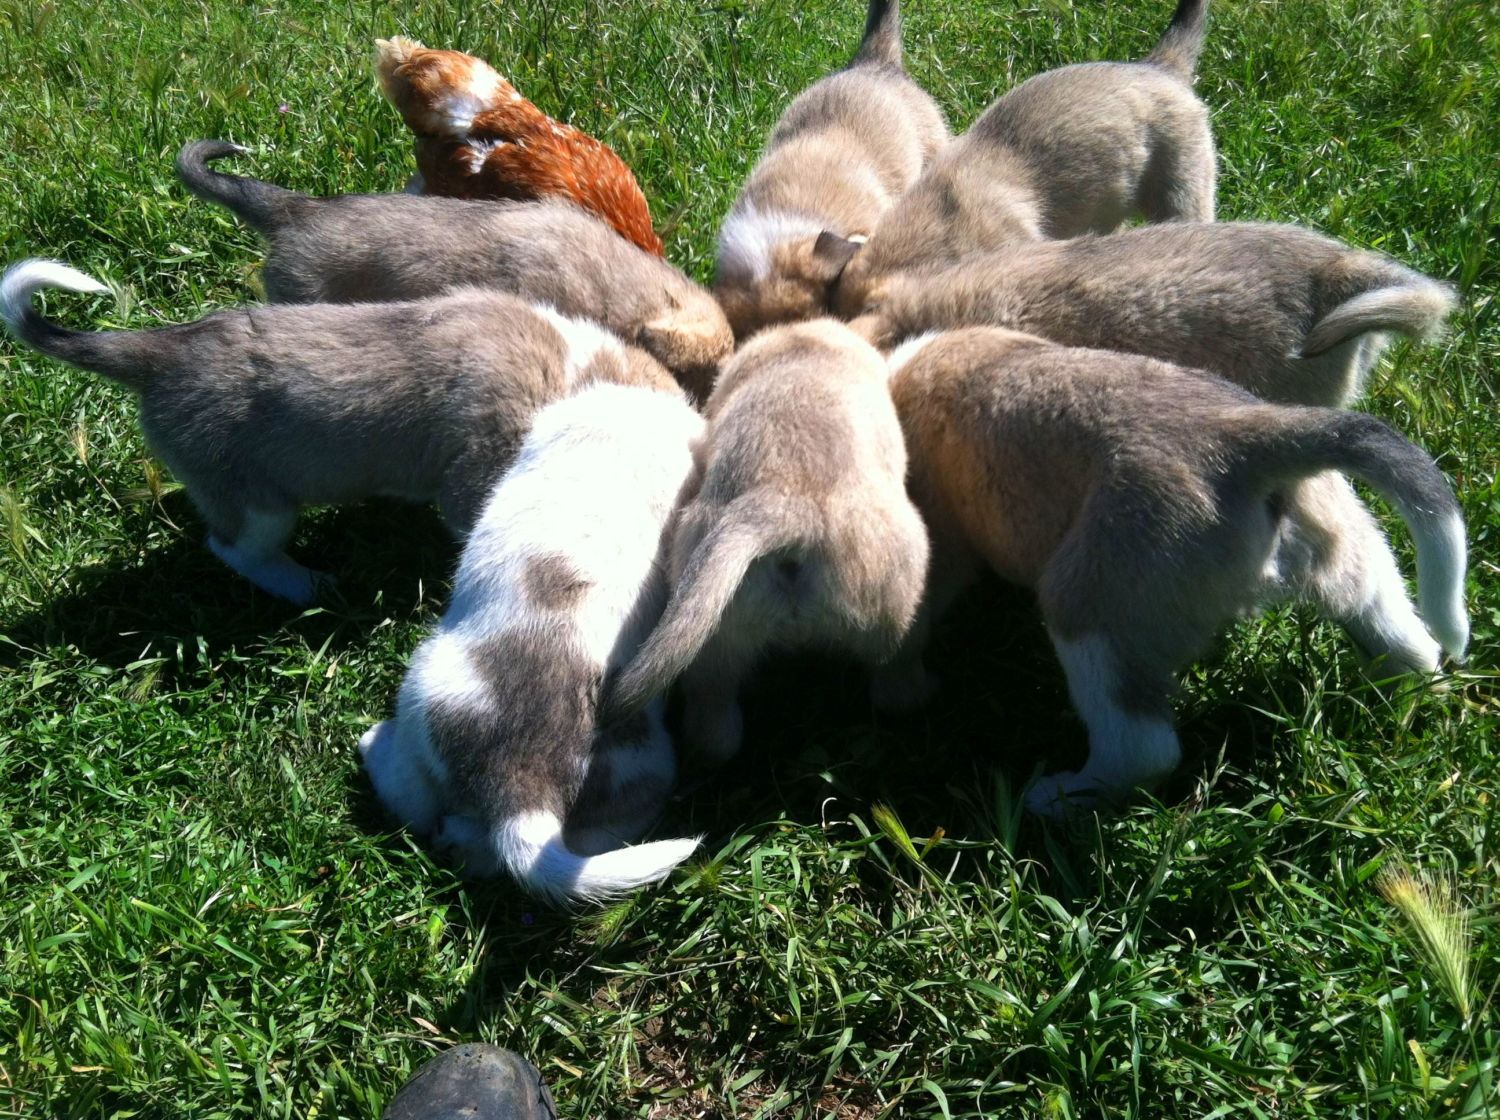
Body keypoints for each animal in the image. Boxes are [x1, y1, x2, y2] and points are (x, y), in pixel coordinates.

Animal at [0, 258, 679, 602]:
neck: (571, 368)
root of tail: (162, 352)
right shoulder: (475, 476)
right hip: (258, 503)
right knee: (236, 549)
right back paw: (307, 586)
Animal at [604, 319, 930, 765]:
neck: (803, 343)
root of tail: (781, 509)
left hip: (713, 636)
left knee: (715, 722)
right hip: (900, 605)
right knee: (894, 684)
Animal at [883, 328, 1467, 817]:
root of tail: (1245, 441)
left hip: (1093, 610)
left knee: (1142, 749)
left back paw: (1061, 798)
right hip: (1359, 563)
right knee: (1412, 647)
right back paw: (1406, 700)